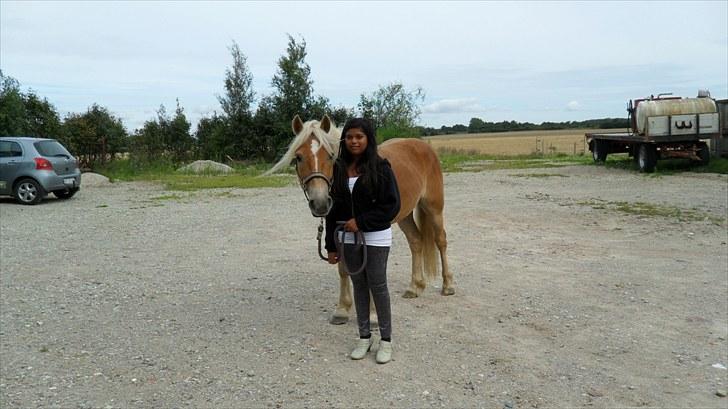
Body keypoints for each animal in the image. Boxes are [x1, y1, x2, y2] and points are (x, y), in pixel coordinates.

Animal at [264, 114, 452, 322]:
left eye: (330, 156)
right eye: (298, 157)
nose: (320, 203)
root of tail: (424, 147)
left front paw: (372, 313)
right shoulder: (339, 228)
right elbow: (343, 268)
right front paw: (342, 309)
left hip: (433, 208)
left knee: (440, 241)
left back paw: (447, 286)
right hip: (404, 214)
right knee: (416, 241)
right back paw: (415, 287)